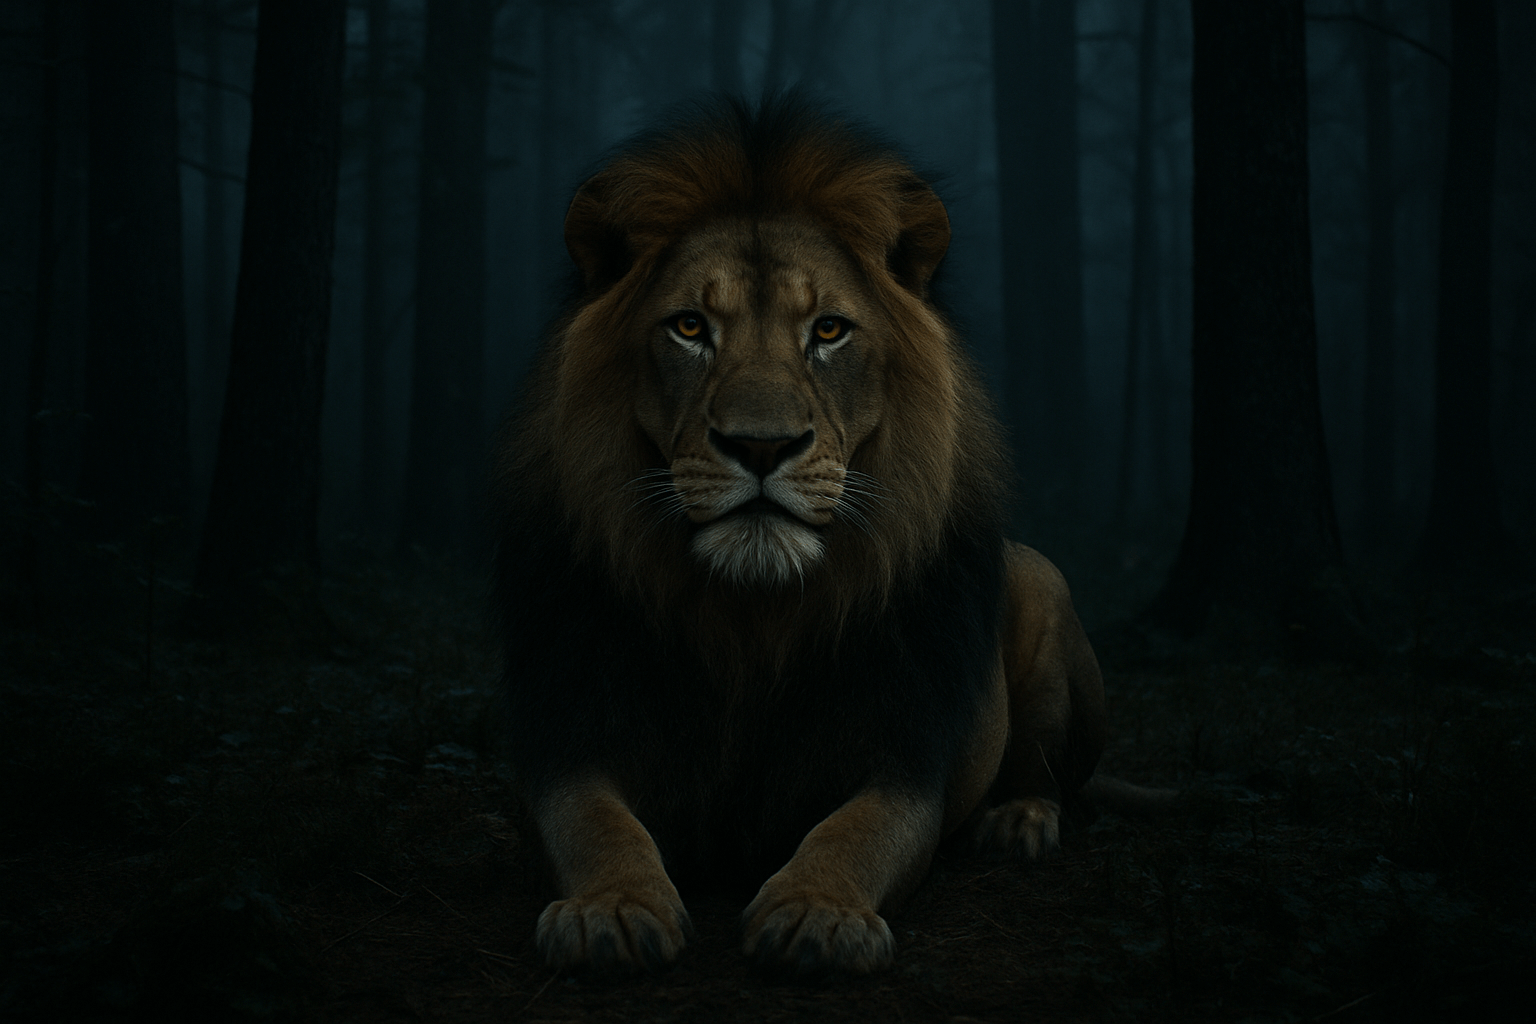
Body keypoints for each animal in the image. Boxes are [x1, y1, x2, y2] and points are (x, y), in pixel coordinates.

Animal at [494, 98, 1137, 978]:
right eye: (689, 326)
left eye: (829, 331)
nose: (762, 447)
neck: (750, 620)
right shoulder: (570, 731)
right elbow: (593, 823)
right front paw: (613, 909)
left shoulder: (902, 756)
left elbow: (856, 833)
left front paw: (818, 914)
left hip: (1041, 582)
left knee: (1044, 770)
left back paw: (1018, 823)